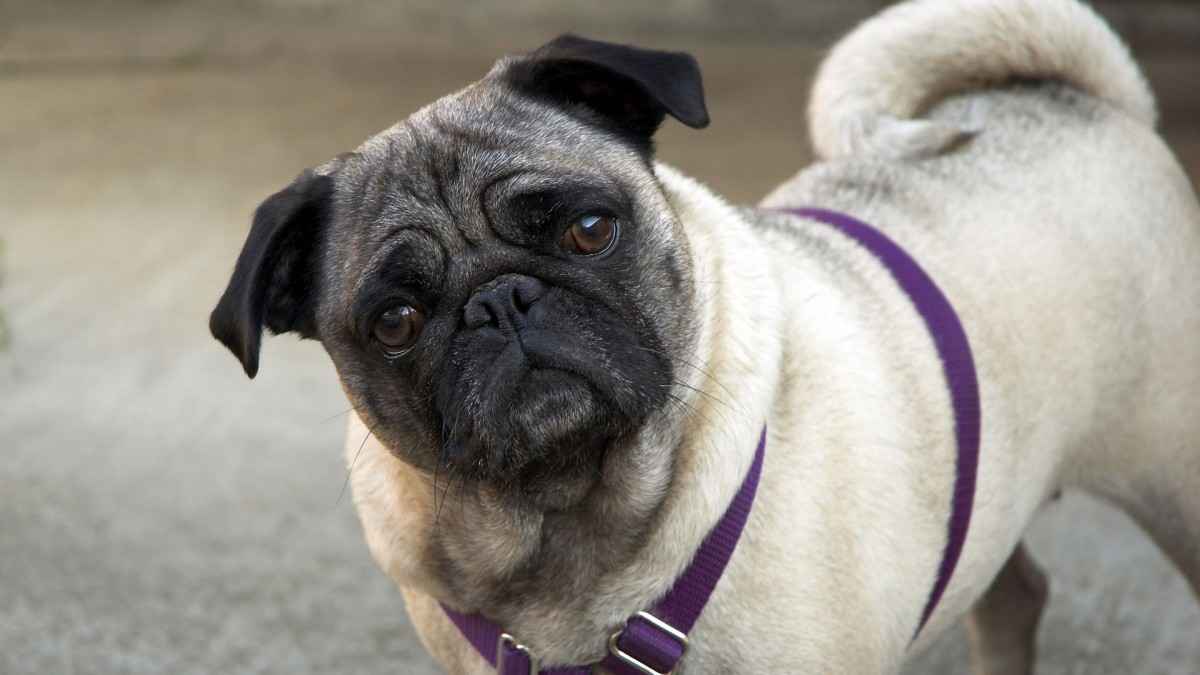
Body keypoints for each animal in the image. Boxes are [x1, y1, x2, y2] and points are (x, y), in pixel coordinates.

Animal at [208, 0, 1200, 667]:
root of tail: (1091, 102)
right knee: (1014, 596)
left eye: (589, 230)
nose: (501, 302)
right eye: (397, 321)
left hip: (1175, 482)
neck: (565, 533)